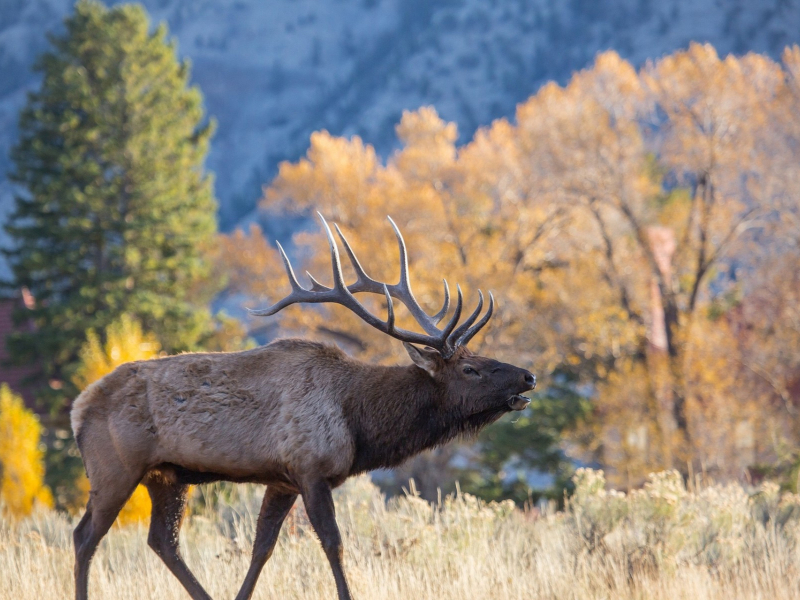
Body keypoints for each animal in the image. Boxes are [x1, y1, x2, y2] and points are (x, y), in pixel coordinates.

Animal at [72, 213, 536, 596]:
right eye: (470, 369)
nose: (529, 376)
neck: (360, 422)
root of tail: (78, 408)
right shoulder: (311, 468)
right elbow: (334, 545)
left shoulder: (282, 479)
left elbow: (262, 548)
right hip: (115, 468)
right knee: (85, 537)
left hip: (166, 475)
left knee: (162, 541)